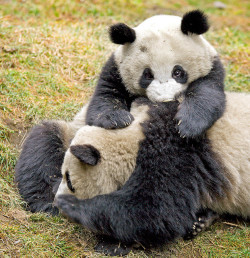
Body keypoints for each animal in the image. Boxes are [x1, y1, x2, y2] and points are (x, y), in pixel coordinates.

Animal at [55, 91, 250, 256]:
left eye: (69, 181)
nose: (57, 202)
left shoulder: (176, 154)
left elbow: (154, 212)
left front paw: (73, 207)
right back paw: (201, 221)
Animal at [85, 10, 225, 139]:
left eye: (177, 72)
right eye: (148, 75)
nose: (166, 100)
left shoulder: (212, 69)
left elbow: (207, 93)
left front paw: (188, 124)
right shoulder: (116, 70)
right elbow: (105, 95)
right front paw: (117, 118)